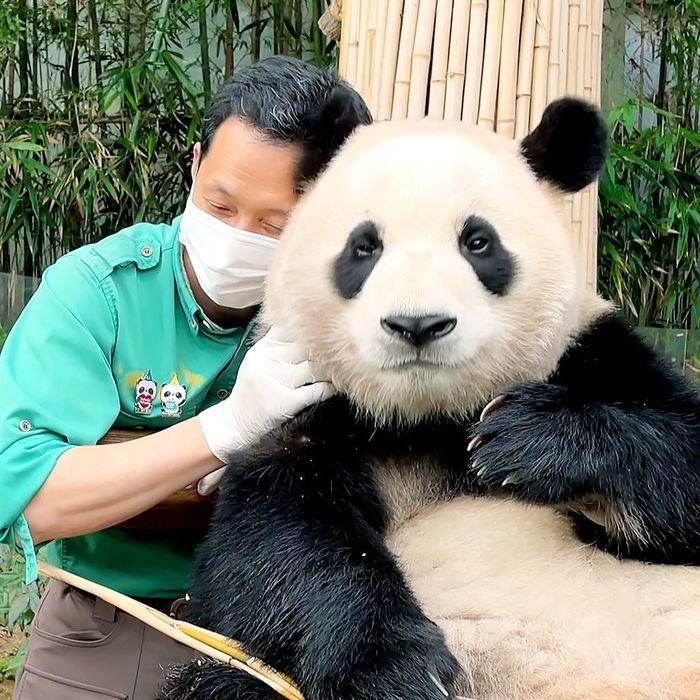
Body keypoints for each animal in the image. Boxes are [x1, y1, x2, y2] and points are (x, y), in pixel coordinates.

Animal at [159, 98, 700, 700]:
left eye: (478, 242)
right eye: (364, 247)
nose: (418, 324)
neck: (432, 417)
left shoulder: (596, 353)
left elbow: (681, 452)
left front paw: (523, 442)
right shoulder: (315, 411)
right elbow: (271, 538)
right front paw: (398, 672)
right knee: (219, 681)